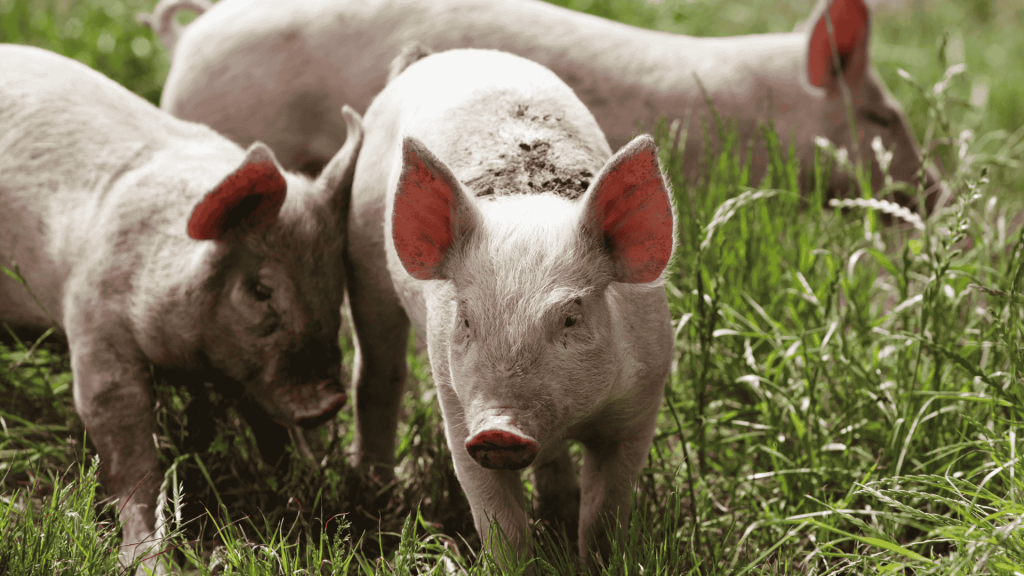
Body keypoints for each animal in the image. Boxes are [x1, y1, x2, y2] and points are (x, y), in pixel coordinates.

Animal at [0, 44, 361, 572]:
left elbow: (271, 430)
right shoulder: (93, 319)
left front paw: (311, 492)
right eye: (260, 290)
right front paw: (148, 560)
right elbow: (122, 438)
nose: (329, 400)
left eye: (336, 284)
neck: (191, 360)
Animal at [345, 48, 675, 567]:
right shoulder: (457, 406)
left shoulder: (641, 401)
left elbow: (605, 514)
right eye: (465, 319)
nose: (500, 432)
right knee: (377, 372)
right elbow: (499, 521)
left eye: (571, 317)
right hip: (363, 257)